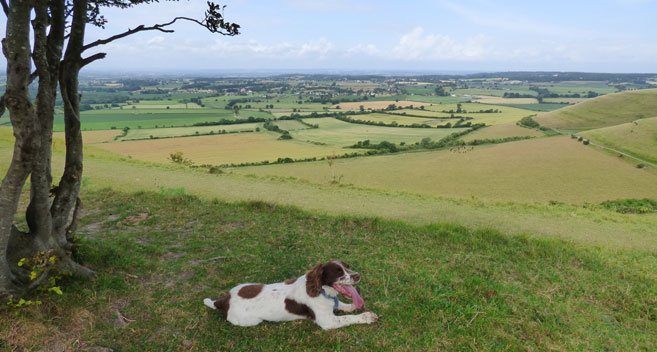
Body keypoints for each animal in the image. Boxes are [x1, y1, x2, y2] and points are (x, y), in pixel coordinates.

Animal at [205, 258, 380, 330]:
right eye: (338, 272)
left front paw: (352, 306)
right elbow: (348, 318)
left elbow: (342, 305)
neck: (322, 291)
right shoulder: (327, 321)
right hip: (250, 321)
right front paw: (367, 316)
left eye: (348, 267)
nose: (358, 276)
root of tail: (224, 300)